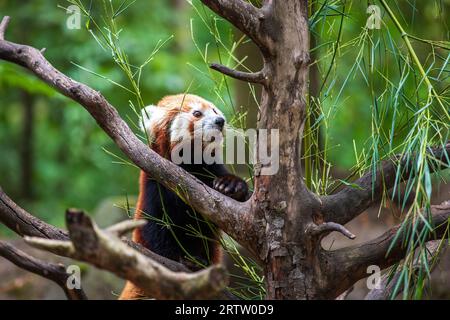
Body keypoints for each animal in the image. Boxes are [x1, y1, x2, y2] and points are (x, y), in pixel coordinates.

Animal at [118, 94, 250, 298]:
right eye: (197, 113)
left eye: (214, 110)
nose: (220, 121)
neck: (190, 165)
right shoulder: (155, 184)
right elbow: (155, 228)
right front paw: (186, 261)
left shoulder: (210, 170)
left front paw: (232, 185)